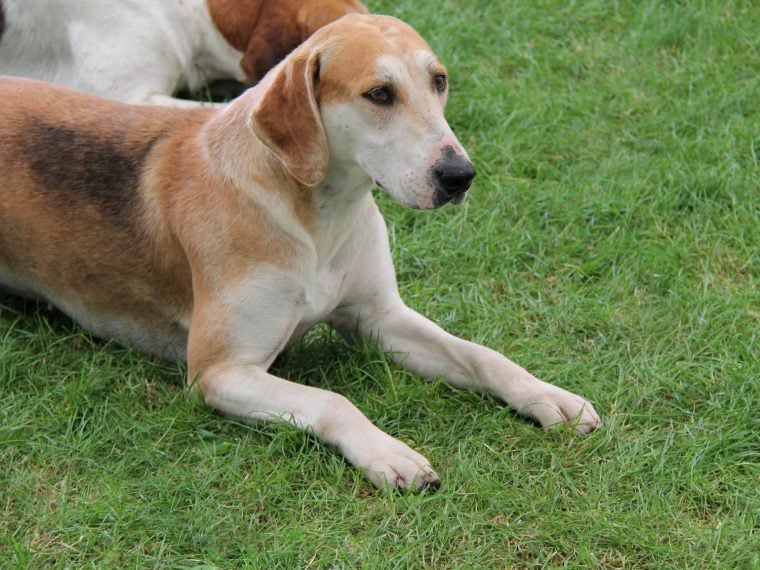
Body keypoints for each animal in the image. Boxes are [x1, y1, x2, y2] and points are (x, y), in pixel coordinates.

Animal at [0, 14, 600, 488]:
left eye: (439, 81)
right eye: (379, 94)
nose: (460, 175)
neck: (317, 218)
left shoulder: (379, 319)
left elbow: (481, 355)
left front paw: (546, 394)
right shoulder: (221, 372)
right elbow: (332, 401)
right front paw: (386, 451)